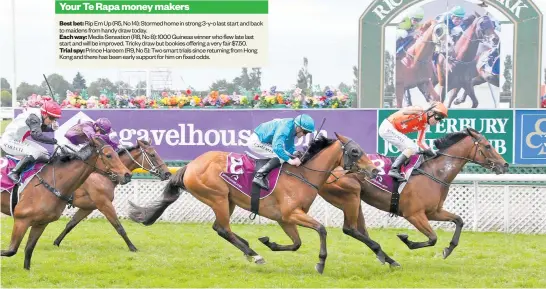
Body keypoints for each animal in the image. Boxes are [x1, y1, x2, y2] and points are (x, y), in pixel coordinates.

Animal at [0, 136, 132, 268]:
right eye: (108, 155)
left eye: (117, 154)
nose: (127, 175)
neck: (53, 183)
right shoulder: (22, 219)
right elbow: (11, 250)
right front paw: (132, 247)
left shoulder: (41, 223)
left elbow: (28, 250)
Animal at [129, 132, 382, 272]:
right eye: (355, 151)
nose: (374, 169)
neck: (302, 175)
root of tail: (190, 165)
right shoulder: (291, 214)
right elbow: (321, 229)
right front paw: (320, 263)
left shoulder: (285, 219)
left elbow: (296, 243)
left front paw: (269, 242)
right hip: (217, 197)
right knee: (223, 229)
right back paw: (254, 254)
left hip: (228, 200)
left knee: (221, 229)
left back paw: (250, 249)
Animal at [316, 127, 508, 264]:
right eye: (488, 146)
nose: (504, 165)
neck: (434, 173)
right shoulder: (414, 214)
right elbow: (433, 238)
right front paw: (406, 239)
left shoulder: (433, 212)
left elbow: (459, 220)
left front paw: (449, 249)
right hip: (350, 196)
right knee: (350, 229)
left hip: (355, 200)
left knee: (360, 231)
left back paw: (386, 257)